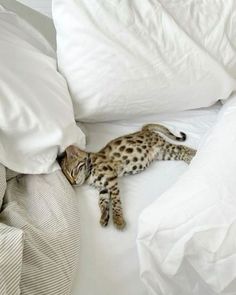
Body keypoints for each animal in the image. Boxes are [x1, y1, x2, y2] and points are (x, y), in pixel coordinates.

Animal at [58, 123, 195, 230]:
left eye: (72, 172)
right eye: (68, 180)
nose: (73, 182)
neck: (90, 170)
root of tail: (144, 130)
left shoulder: (111, 180)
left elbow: (116, 202)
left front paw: (118, 220)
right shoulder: (103, 188)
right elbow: (102, 202)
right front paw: (104, 216)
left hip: (164, 146)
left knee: (182, 147)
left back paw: (195, 155)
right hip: (163, 154)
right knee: (180, 153)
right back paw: (192, 159)